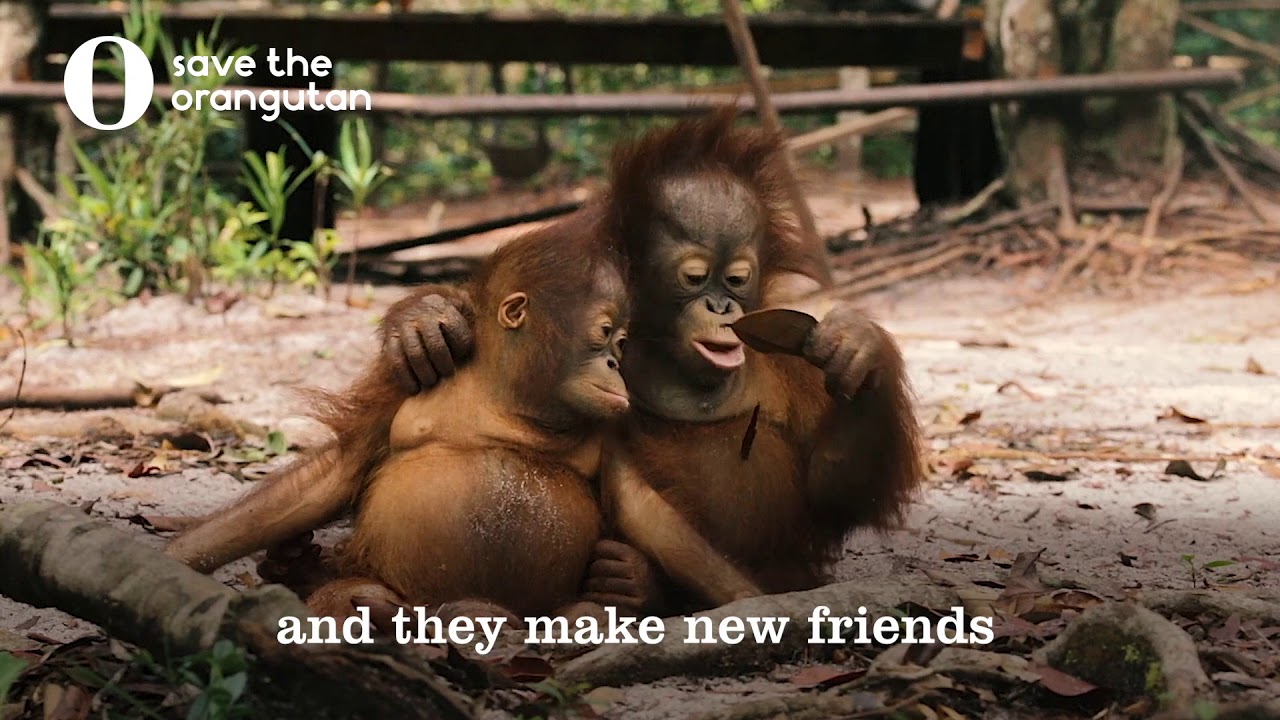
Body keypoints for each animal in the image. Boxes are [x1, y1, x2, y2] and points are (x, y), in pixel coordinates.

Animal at [380, 107, 924, 614]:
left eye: (737, 279)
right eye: (695, 277)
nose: (721, 308)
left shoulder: (790, 362)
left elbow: (831, 490)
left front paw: (858, 347)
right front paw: (425, 322)